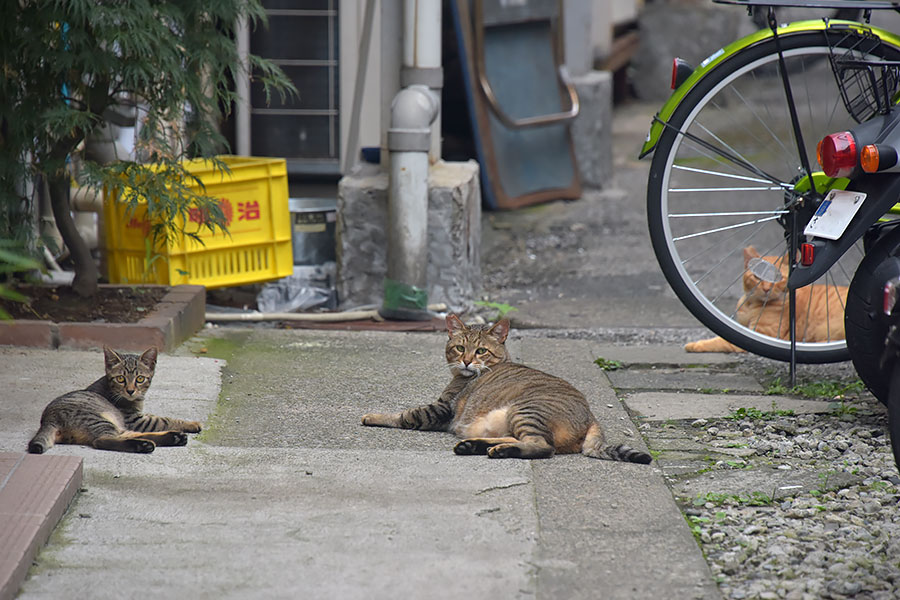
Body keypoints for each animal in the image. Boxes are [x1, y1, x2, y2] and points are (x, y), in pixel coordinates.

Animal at [29, 346, 204, 454]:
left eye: (140, 379)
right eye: (120, 378)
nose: (131, 390)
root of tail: (48, 419)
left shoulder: (135, 419)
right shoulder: (136, 420)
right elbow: (165, 419)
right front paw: (192, 424)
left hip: (115, 424)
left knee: (128, 435)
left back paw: (171, 438)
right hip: (100, 420)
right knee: (102, 440)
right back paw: (144, 444)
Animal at [362, 314, 652, 464]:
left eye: (481, 351)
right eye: (459, 347)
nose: (466, 361)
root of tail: (592, 417)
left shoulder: (441, 408)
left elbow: (406, 414)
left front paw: (373, 416)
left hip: (526, 410)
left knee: (542, 446)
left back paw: (494, 450)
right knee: (520, 440)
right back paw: (474, 446)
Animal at [684, 246, 848, 354]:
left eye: (778, 278)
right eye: (757, 276)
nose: (766, 288)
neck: (750, 304)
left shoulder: (756, 333)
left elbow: (719, 341)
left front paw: (695, 345)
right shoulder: (743, 326)